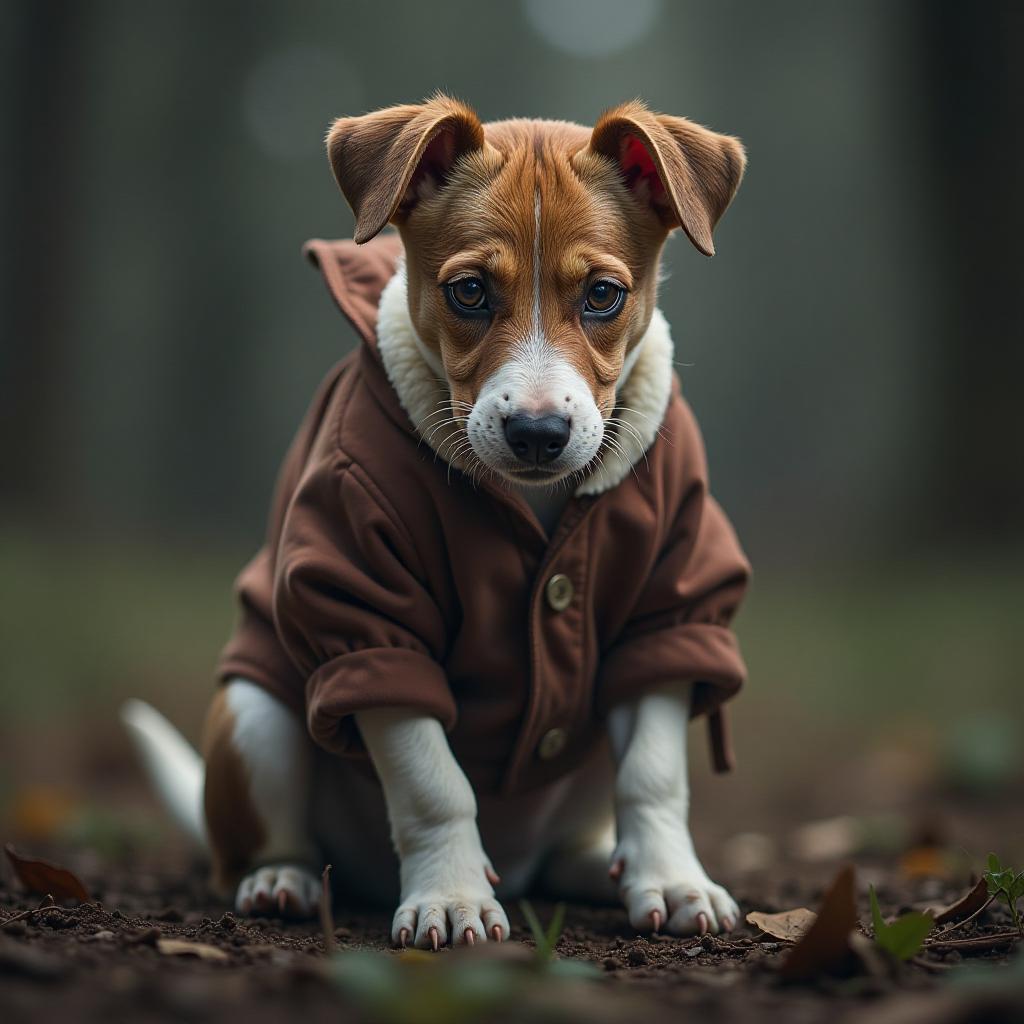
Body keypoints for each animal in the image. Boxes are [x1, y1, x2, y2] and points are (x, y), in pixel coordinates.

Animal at [121, 92, 753, 946]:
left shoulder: (670, 609)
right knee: (269, 841)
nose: (539, 433)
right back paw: (282, 879)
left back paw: (603, 870)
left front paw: (674, 880)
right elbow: (432, 782)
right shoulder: (368, 617)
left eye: (602, 296)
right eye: (470, 292)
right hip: (259, 719)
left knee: (569, 846)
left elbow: (654, 774)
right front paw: (451, 896)